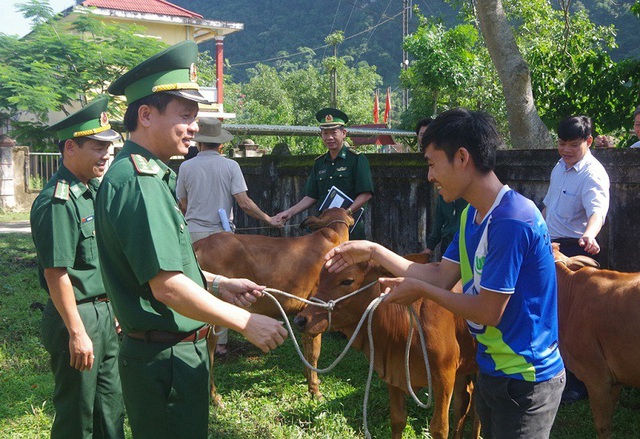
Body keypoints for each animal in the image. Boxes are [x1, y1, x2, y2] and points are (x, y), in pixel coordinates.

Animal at [195, 208, 356, 404]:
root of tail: (199, 244)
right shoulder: (316, 311)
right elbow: (314, 354)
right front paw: (315, 391)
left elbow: (307, 352)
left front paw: (309, 380)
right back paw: (214, 397)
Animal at [292, 254, 478, 439]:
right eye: (320, 278)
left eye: (347, 281)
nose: (301, 320)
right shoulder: (393, 372)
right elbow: (397, 419)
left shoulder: (445, 377)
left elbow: (439, 428)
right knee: (466, 402)